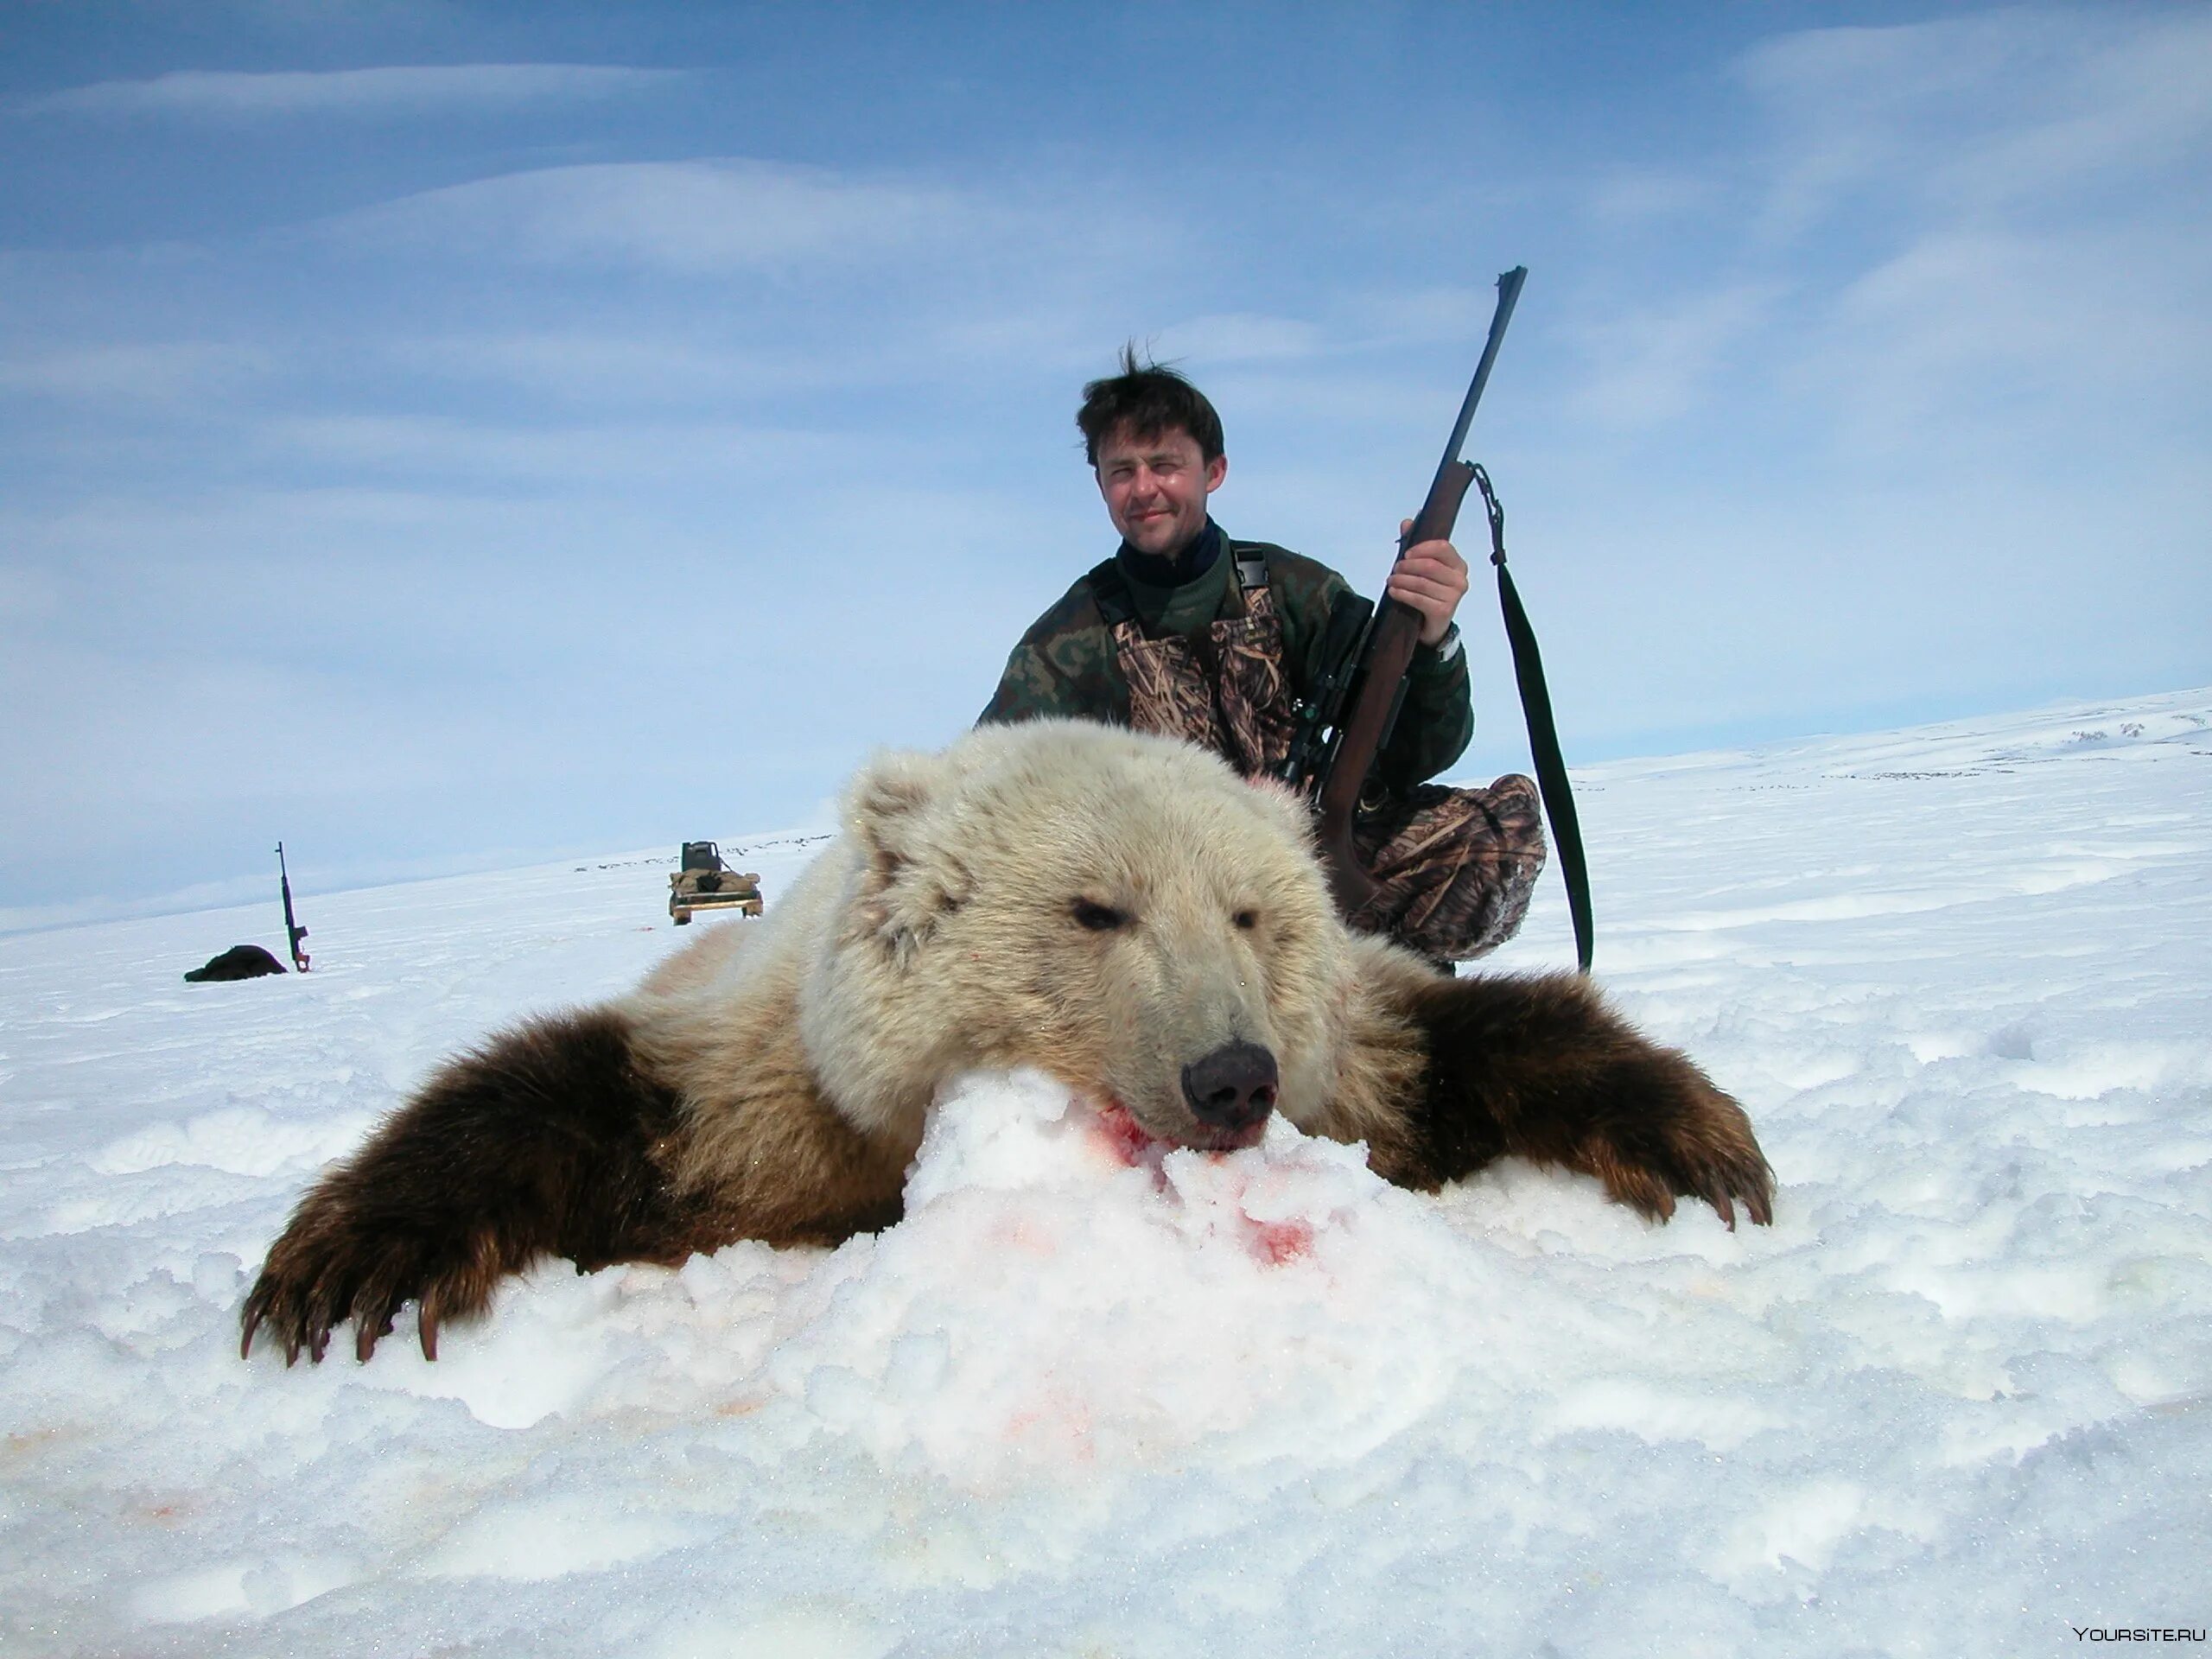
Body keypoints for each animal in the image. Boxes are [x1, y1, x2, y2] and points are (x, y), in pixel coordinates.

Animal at [233, 721, 1770, 1371]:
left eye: (1252, 912)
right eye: (1096, 908)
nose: (1232, 1079)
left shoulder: (1348, 1054)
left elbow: (1439, 1048)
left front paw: (1700, 1141)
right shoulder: (773, 1082)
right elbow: (585, 1101)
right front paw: (347, 1266)